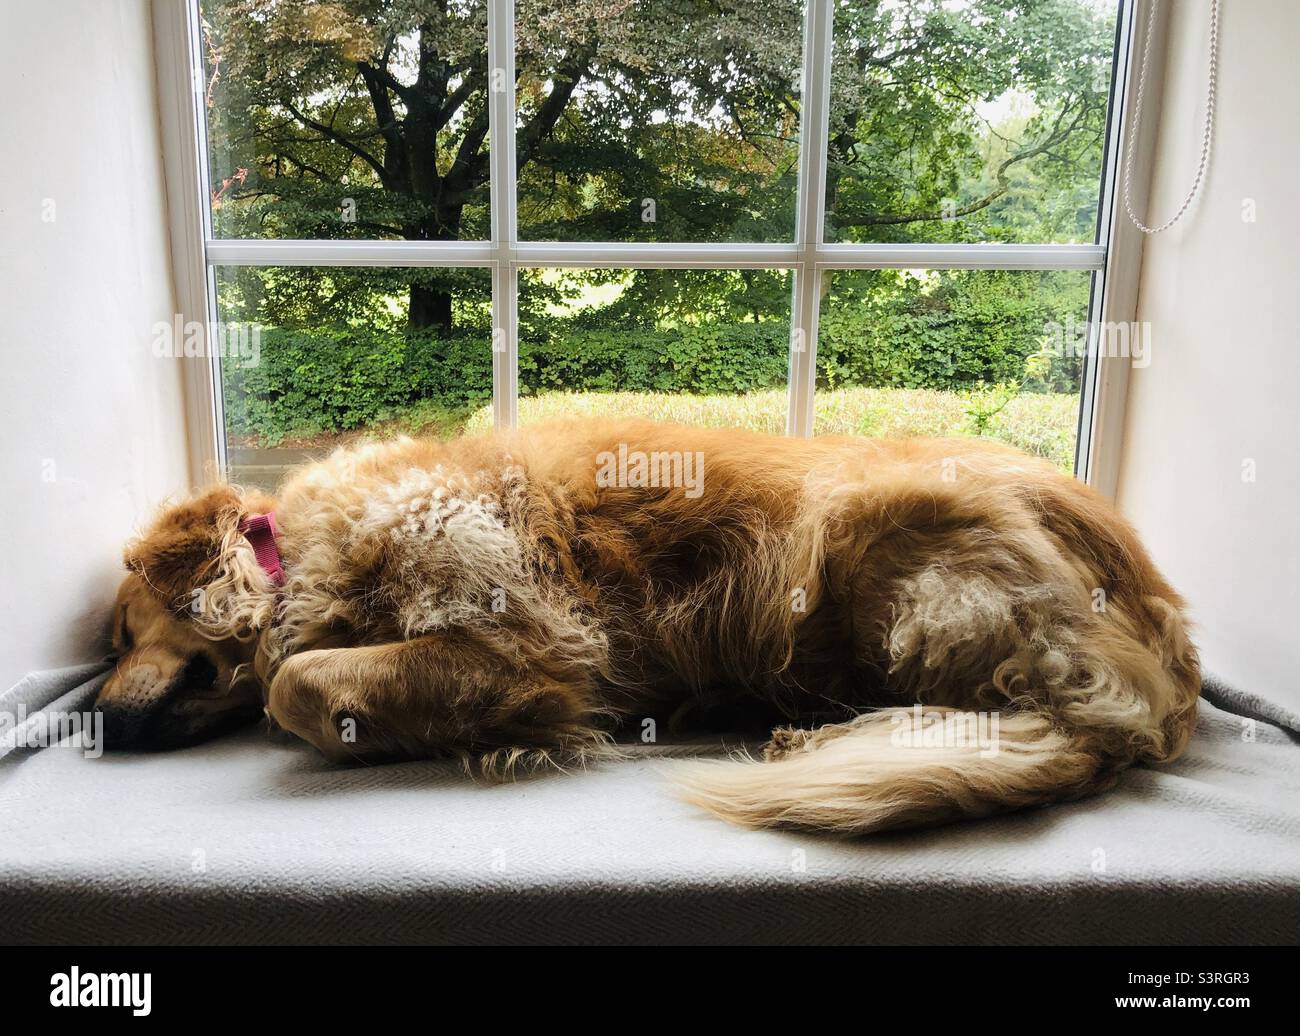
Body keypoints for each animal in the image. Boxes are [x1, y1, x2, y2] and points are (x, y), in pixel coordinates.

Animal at [98, 421, 1196, 831]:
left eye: (115, 633)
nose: (98, 720)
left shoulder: (536, 648)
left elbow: (299, 680)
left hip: (880, 536)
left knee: (1061, 722)